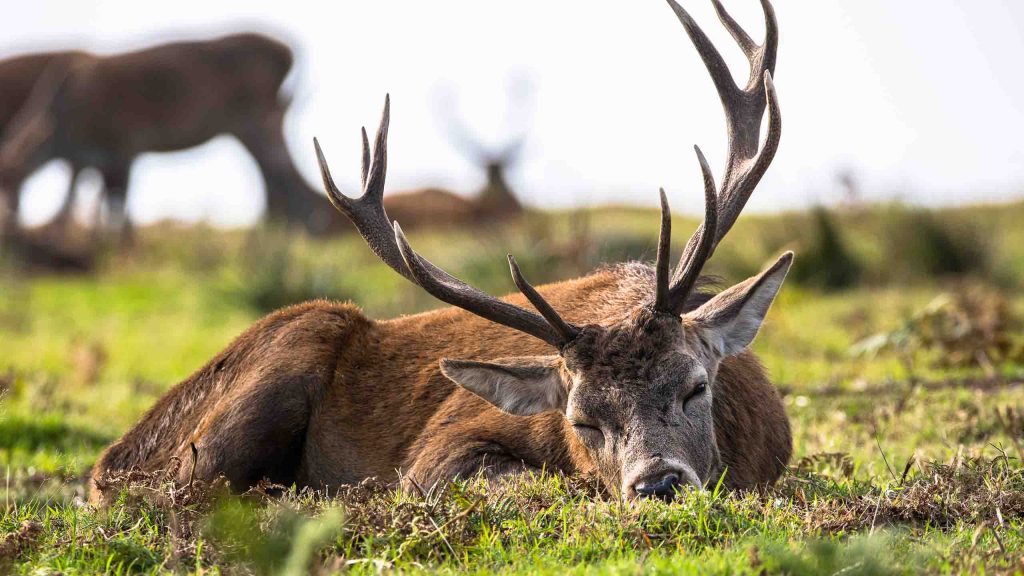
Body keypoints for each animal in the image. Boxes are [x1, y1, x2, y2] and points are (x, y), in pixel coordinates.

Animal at [0, 31, 319, 241]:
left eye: (11, 176)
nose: (9, 225)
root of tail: (292, 52)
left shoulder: (125, 145)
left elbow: (115, 202)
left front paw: (116, 249)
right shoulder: (96, 158)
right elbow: (92, 200)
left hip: (257, 122)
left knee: (289, 183)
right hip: (252, 126)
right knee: (281, 182)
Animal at [92, 0, 786, 502]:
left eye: (696, 386)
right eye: (582, 419)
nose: (659, 483)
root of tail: (109, 460)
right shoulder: (437, 453)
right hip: (282, 358)